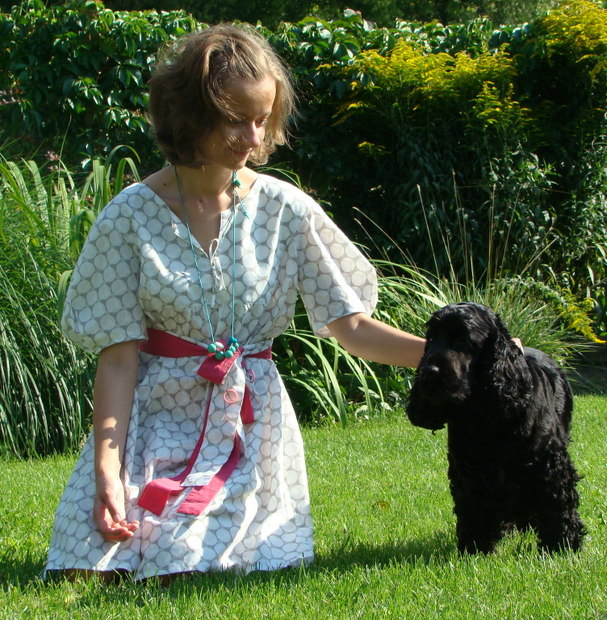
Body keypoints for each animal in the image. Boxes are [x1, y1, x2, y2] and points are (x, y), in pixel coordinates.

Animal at [406, 302, 585, 554]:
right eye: (431, 338)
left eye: (463, 339)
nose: (428, 372)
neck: (486, 418)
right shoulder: (468, 470)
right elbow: (472, 507)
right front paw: (475, 547)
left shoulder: (549, 463)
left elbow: (558, 502)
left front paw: (562, 545)